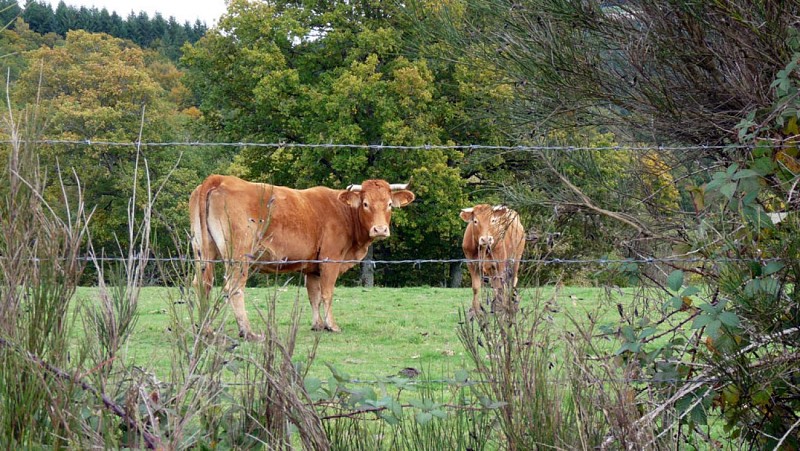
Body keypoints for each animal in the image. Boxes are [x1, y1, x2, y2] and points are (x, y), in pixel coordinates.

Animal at [188, 175, 412, 340]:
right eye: (365, 204)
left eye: (389, 204)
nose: (380, 229)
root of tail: (220, 179)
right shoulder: (330, 259)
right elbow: (327, 293)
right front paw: (332, 325)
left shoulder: (312, 266)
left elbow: (313, 295)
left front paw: (318, 325)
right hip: (239, 254)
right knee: (234, 287)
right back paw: (248, 332)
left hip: (202, 250)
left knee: (202, 283)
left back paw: (206, 329)